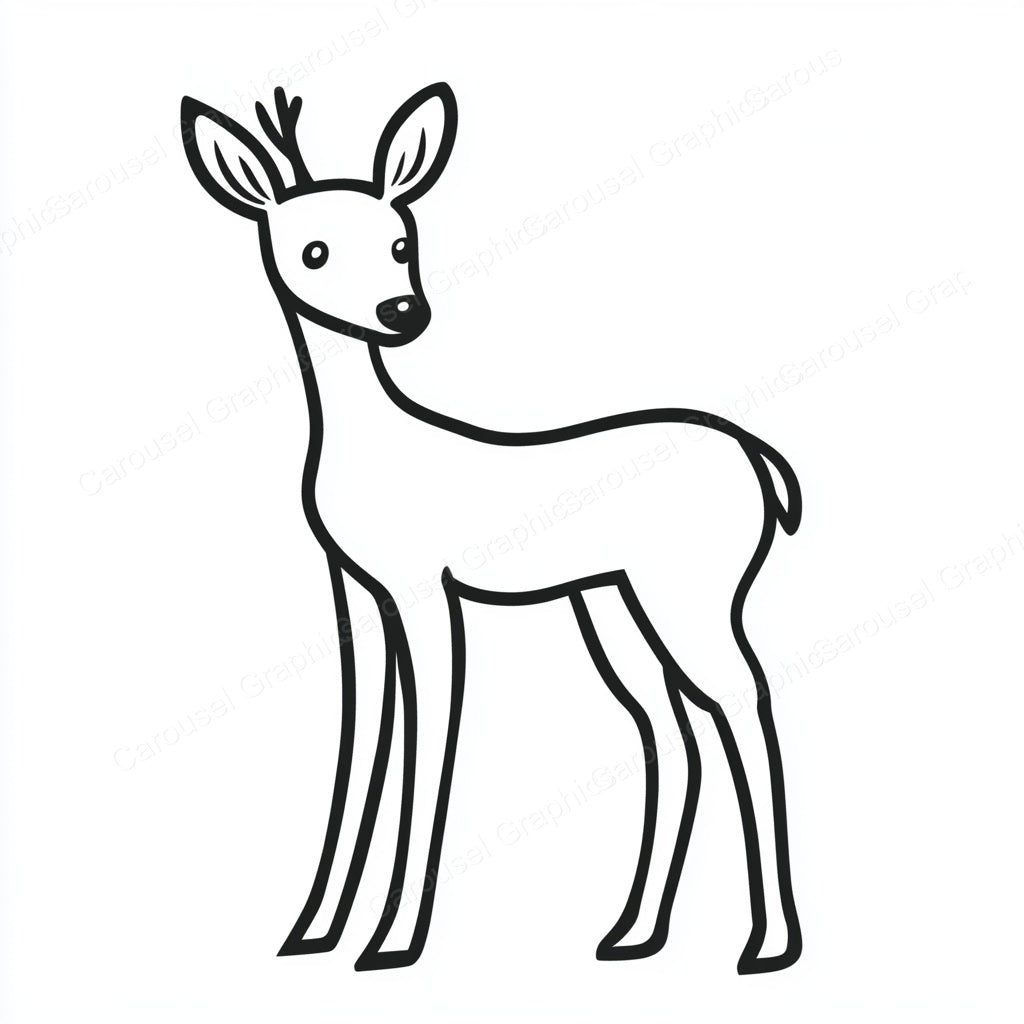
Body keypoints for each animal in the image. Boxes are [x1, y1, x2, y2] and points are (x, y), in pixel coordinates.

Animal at [180, 82, 804, 975]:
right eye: (313, 252)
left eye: (401, 240)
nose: (402, 311)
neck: (373, 446)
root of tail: (758, 454)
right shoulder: (356, 592)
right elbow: (360, 739)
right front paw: (313, 931)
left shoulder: (425, 589)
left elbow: (429, 736)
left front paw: (393, 941)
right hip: (611, 602)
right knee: (668, 724)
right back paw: (632, 934)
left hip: (694, 594)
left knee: (743, 702)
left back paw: (768, 943)